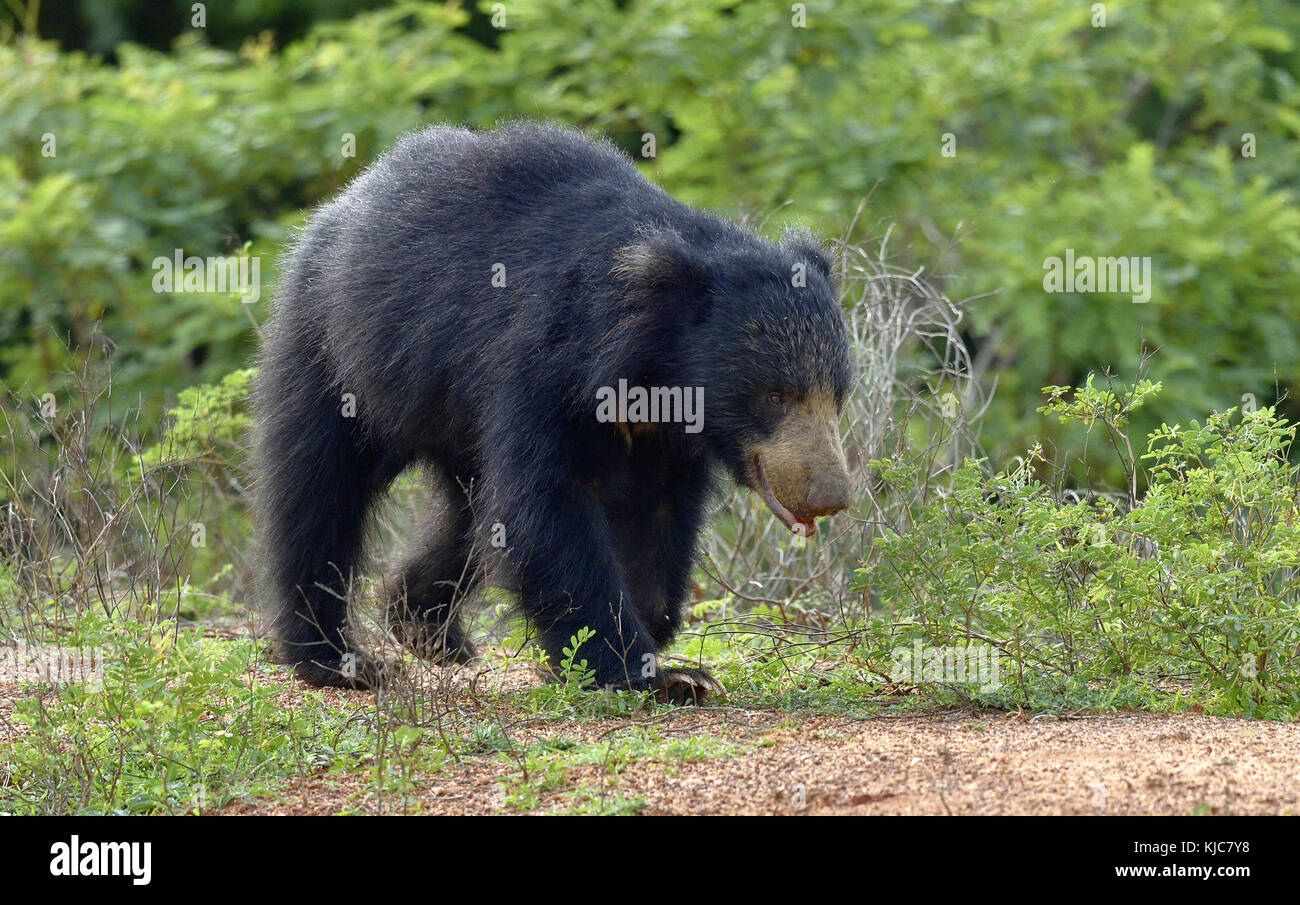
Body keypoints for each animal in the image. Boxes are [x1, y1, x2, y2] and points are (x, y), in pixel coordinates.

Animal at [258, 122, 857, 702]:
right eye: (776, 395)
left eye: (837, 394)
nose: (829, 496)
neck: (646, 370)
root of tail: (341, 205)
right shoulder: (540, 367)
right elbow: (545, 507)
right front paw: (649, 673)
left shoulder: (665, 439)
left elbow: (655, 517)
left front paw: (646, 647)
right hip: (338, 352)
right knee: (318, 491)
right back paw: (338, 659)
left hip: (448, 418)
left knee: (469, 514)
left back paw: (427, 628)